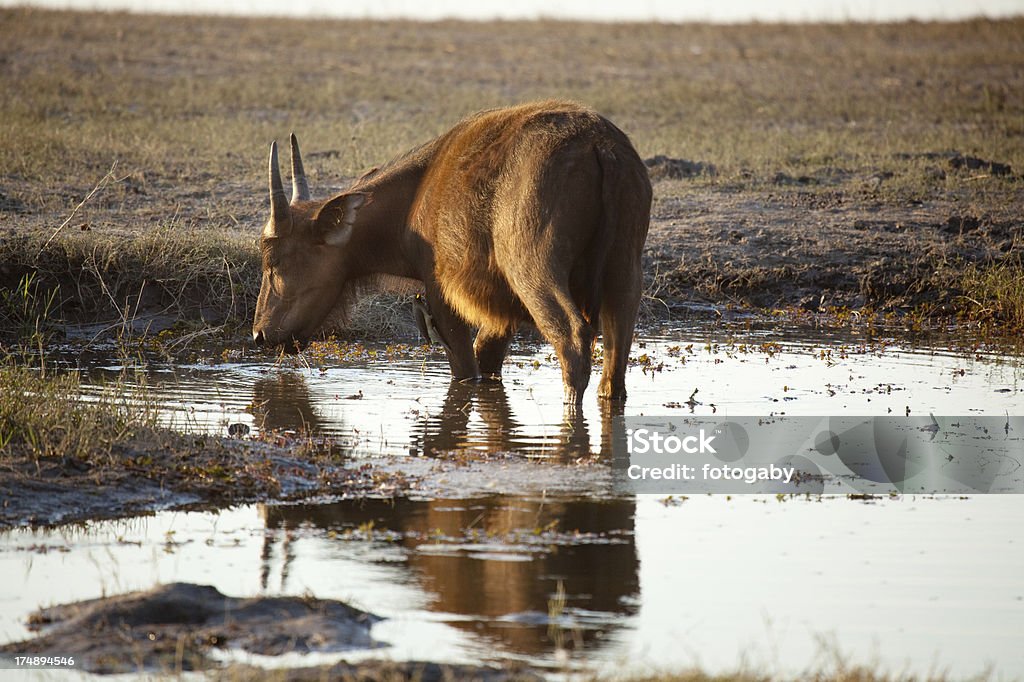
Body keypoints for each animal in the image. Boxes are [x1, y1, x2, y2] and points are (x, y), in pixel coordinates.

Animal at [252, 98, 651, 401]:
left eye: (274, 262)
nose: (260, 334)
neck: (414, 201)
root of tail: (599, 145)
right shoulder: (500, 311)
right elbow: (486, 357)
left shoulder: (443, 296)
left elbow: (464, 369)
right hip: (625, 273)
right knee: (616, 358)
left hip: (534, 271)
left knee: (572, 337)